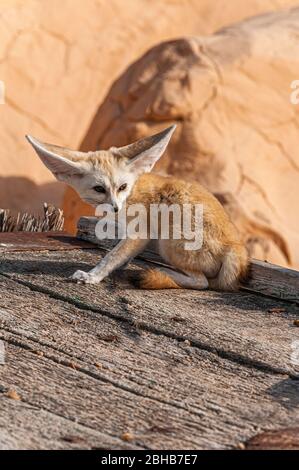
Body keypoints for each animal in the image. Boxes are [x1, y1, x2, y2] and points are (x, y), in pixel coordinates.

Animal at [27, 126, 248, 290]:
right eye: (99, 189)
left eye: (122, 187)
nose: (115, 208)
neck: (132, 191)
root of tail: (235, 247)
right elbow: (120, 252)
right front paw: (119, 264)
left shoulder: (141, 232)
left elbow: (112, 256)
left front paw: (93, 276)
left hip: (168, 241)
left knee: (202, 282)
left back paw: (162, 273)